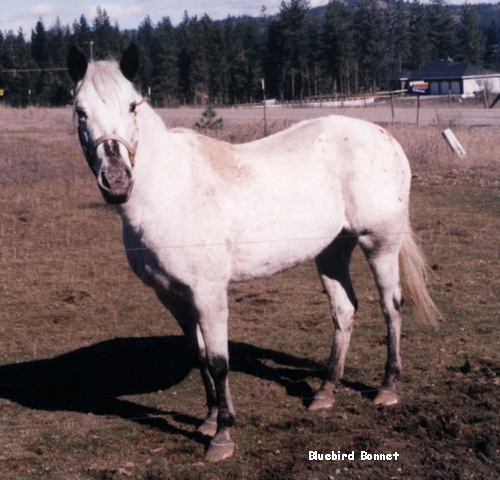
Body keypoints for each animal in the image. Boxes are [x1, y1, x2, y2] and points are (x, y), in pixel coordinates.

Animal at [68, 44, 440, 462]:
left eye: (132, 106)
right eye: (80, 111)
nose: (117, 182)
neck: (170, 189)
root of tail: (383, 135)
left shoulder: (209, 292)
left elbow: (218, 362)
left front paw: (222, 436)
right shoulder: (172, 296)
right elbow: (199, 356)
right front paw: (208, 420)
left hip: (380, 244)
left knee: (391, 306)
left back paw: (387, 388)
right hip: (332, 249)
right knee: (344, 310)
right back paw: (325, 392)